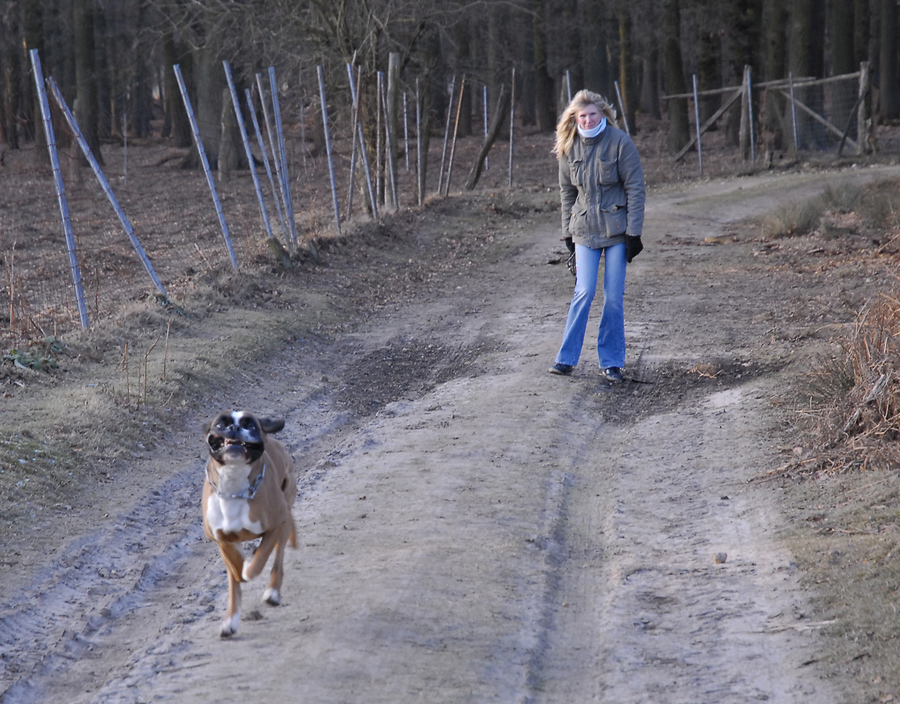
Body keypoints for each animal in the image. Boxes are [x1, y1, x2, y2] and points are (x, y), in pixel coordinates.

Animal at [201, 412, 298, 640]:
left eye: (251, 425)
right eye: (221, 423)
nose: (235, 428)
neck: (233, 487)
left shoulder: (276, 525)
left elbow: (257, 563)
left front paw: (249, 566)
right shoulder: (221, 539)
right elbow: (235, 571)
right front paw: (241, 566)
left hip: (284, 517)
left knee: (277, 560)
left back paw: (272, 593)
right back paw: (231, 621)